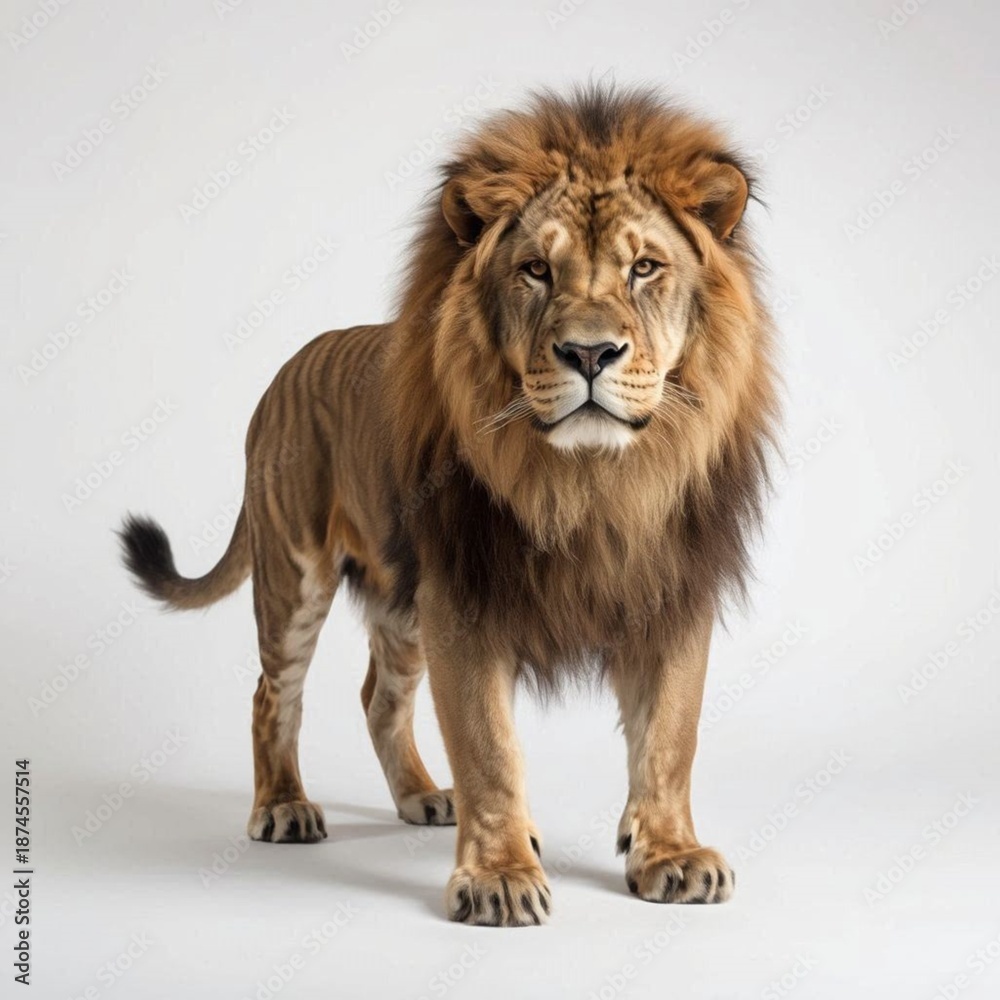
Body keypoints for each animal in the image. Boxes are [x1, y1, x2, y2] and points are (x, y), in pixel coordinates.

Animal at [119, 85, 777, 926]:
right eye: (536, 270)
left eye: (644, 268)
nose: (590, 353)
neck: (594, 482)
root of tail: (294, 360)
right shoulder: (462, 600)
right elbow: (489, 747)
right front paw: (498, 876)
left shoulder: (671, 593)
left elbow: (669, 738)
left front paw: (668, 854)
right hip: (296, 574)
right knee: (273, 694)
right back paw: (284, 808)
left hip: (401, 600)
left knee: (379, 698)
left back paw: (425, 798)